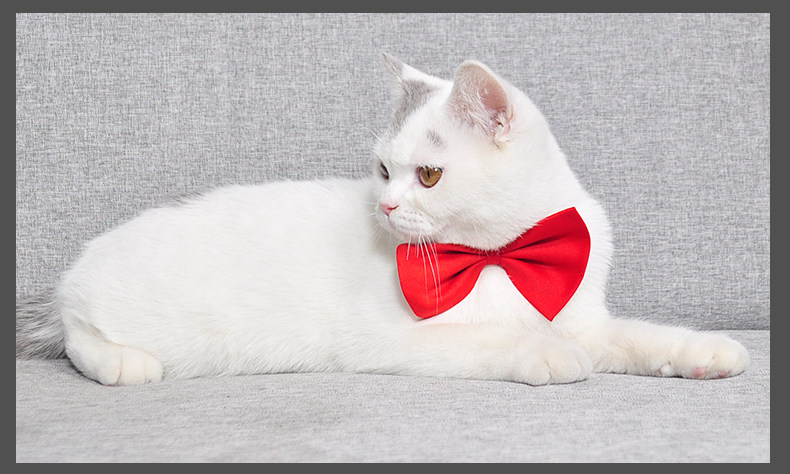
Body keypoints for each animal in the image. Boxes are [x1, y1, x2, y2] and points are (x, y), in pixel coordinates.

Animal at [16, 54, 749, 386]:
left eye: (425, 175)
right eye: (381, 169)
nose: (388, 206)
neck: (494, 256)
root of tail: (74, 271)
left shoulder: (584, 316)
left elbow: (636, 336)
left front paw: (703, 351)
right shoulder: (388, 338)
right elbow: (492, 340)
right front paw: (545, 353)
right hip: (109, 315)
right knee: (78, 337)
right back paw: (122, 362)